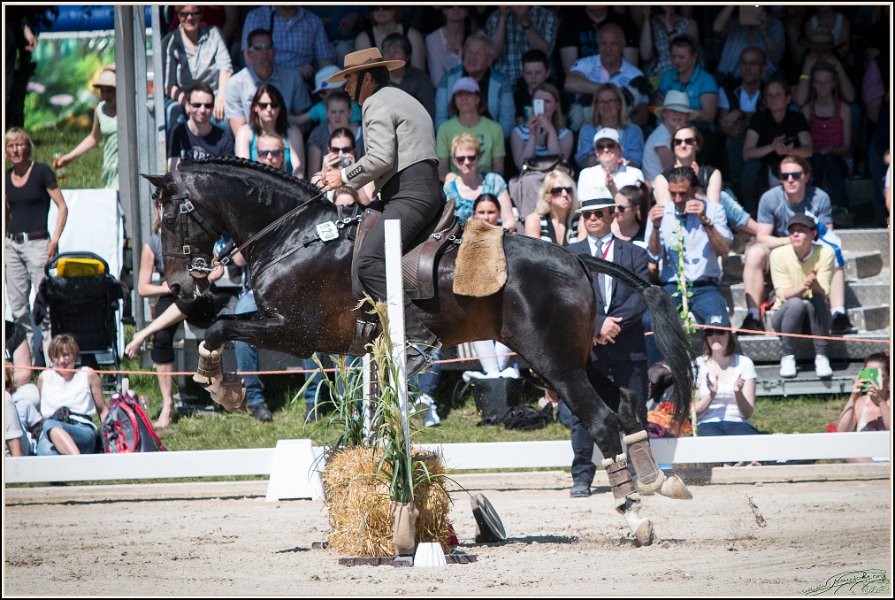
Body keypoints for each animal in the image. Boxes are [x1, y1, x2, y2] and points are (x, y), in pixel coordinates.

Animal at [144, 156, 695, 545]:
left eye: (170, 218)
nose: (178, 288)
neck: (295, 237)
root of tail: (577, 257)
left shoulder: (296, 331)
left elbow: (221, 326)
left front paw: (222, 386)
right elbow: (224, 324)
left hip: (551, 361)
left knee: (601, 419)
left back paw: (634, 516)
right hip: (570, 358)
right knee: (627, 405)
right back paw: (657, 482)